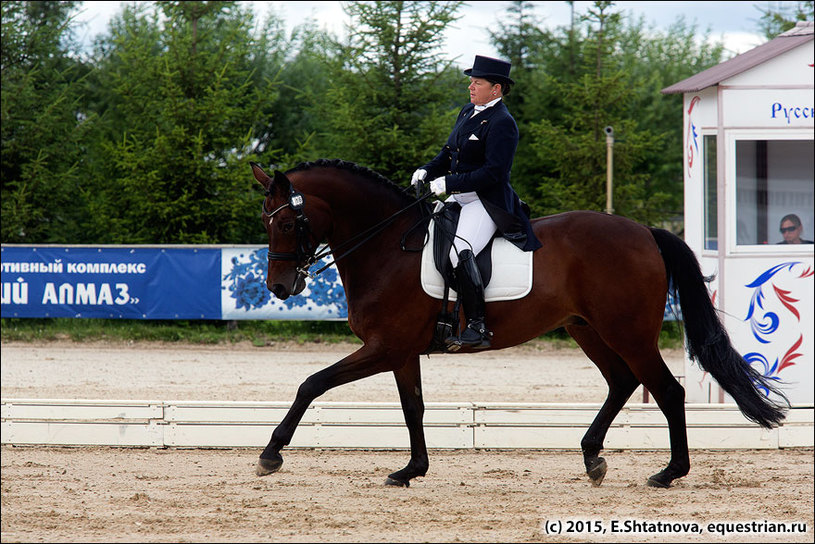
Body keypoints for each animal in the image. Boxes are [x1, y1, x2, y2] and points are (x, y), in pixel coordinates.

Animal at [252, 157, 788, 488]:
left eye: (288, 223)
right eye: (265, 221)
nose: (279, 288)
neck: (386, 247)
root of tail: (644, 231)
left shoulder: (384, 347)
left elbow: (311, 383)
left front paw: (271, 453)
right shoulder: (400, 352)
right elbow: (413, 408)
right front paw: (411, 470)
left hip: (628, 332)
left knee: (666, 390)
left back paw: (669, 473)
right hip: (586, 328)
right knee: (622, 382)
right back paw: (592, 456)